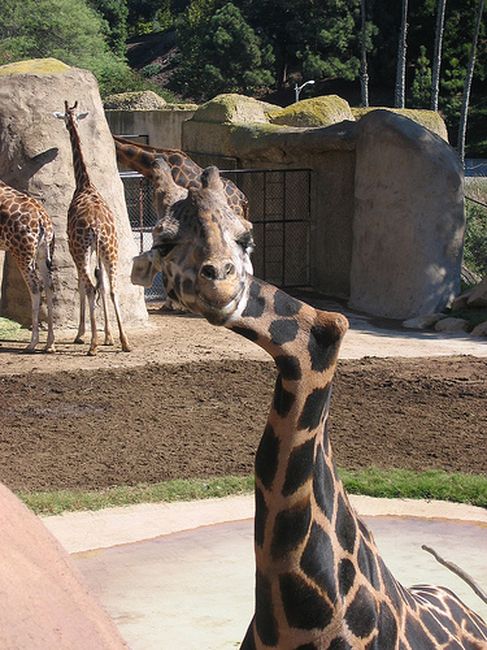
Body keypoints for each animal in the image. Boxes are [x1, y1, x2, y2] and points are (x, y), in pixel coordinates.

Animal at [0, 180, 55, 353]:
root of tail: (42, 218)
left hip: (22, 253)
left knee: (35, 287)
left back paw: (32, 344)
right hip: (42, 252)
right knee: (49, 286)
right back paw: (49, 344)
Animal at [54, 101, 130, 356]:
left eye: (67, 117)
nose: (69, 123)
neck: (84, 183)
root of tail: (96, 225)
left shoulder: (73, 249)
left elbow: (82, 285)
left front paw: (82, 334)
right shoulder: (99, 250)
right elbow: (103, 285)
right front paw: (109, 337)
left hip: (82, 248)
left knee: (88, 286)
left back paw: (92, 344)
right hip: (110, 248)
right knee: (113, 287)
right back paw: (124, 341)